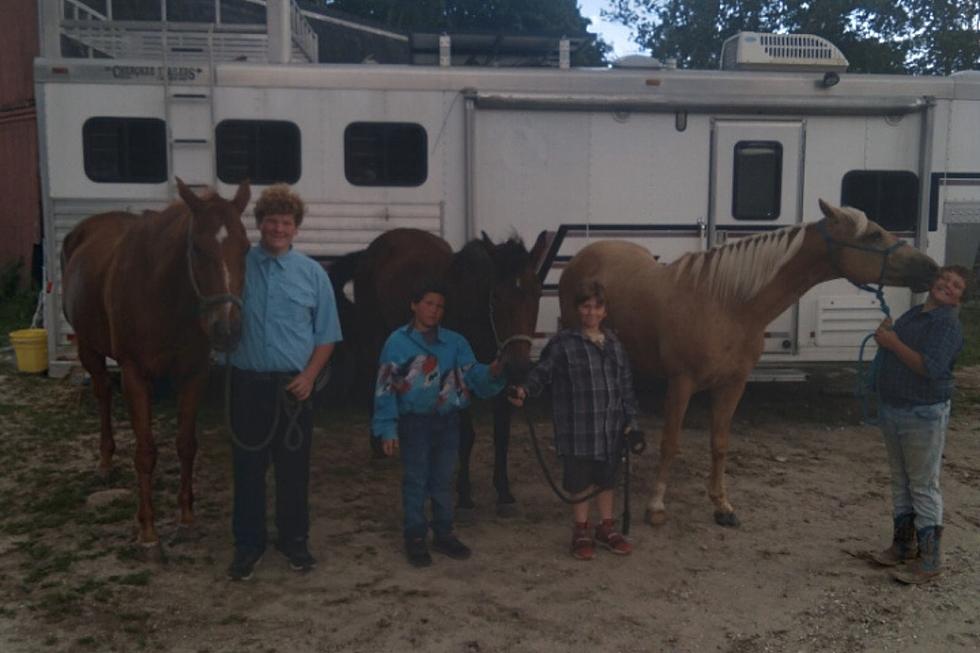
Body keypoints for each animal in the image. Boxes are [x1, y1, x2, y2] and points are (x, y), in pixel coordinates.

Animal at [61, 180, 251, 552]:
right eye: (197, 249)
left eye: (247, 248)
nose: (227, 330)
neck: (160, 292)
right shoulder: (135, 374)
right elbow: (146, 452)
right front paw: (148, 531)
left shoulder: (193, 374)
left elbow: (186, 444)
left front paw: (187, 518)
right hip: (89, 347)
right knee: (102, 393)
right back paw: (105, 462)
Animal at [340, 227, 548, 512]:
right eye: (496, 296)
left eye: (537, 293)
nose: (517, 365)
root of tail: (370, 251)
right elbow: (467, 436)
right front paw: (464, 494)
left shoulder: (500, 379)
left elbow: (501, 435)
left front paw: (504, 491)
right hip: (374, 334)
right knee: (374, 375)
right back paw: (378, 445)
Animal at [556, 201, 936, 528]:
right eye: (873, 235)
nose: (932, 269)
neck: (728, 303)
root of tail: (585, 255)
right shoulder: (682, 382)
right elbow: (670, 443)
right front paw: (656, 506)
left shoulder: (733, 384)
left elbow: (720, 444)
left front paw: (722, 506)